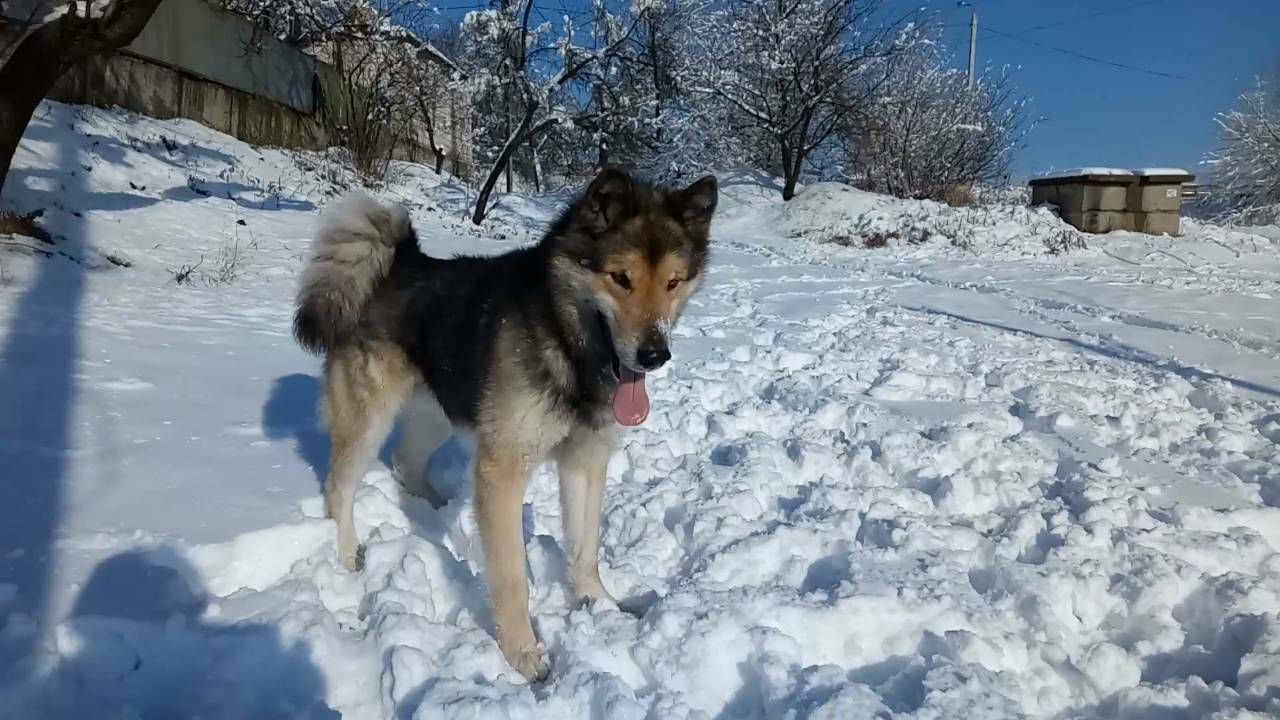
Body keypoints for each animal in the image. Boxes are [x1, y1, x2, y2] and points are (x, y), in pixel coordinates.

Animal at [293, 166, 721, 676]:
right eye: (621, 278)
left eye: (673, 282)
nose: (655, 355)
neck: (565, 343)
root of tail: (400, 262)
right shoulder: (504, 467)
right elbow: (512, 575)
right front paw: (523, 654)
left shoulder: (585, 460)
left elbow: (585, 549)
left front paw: (599, 605)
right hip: (369, 418)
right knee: (340, 488)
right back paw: (347, 554)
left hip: (441, 409)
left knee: (405, 461)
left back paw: (437, 511)